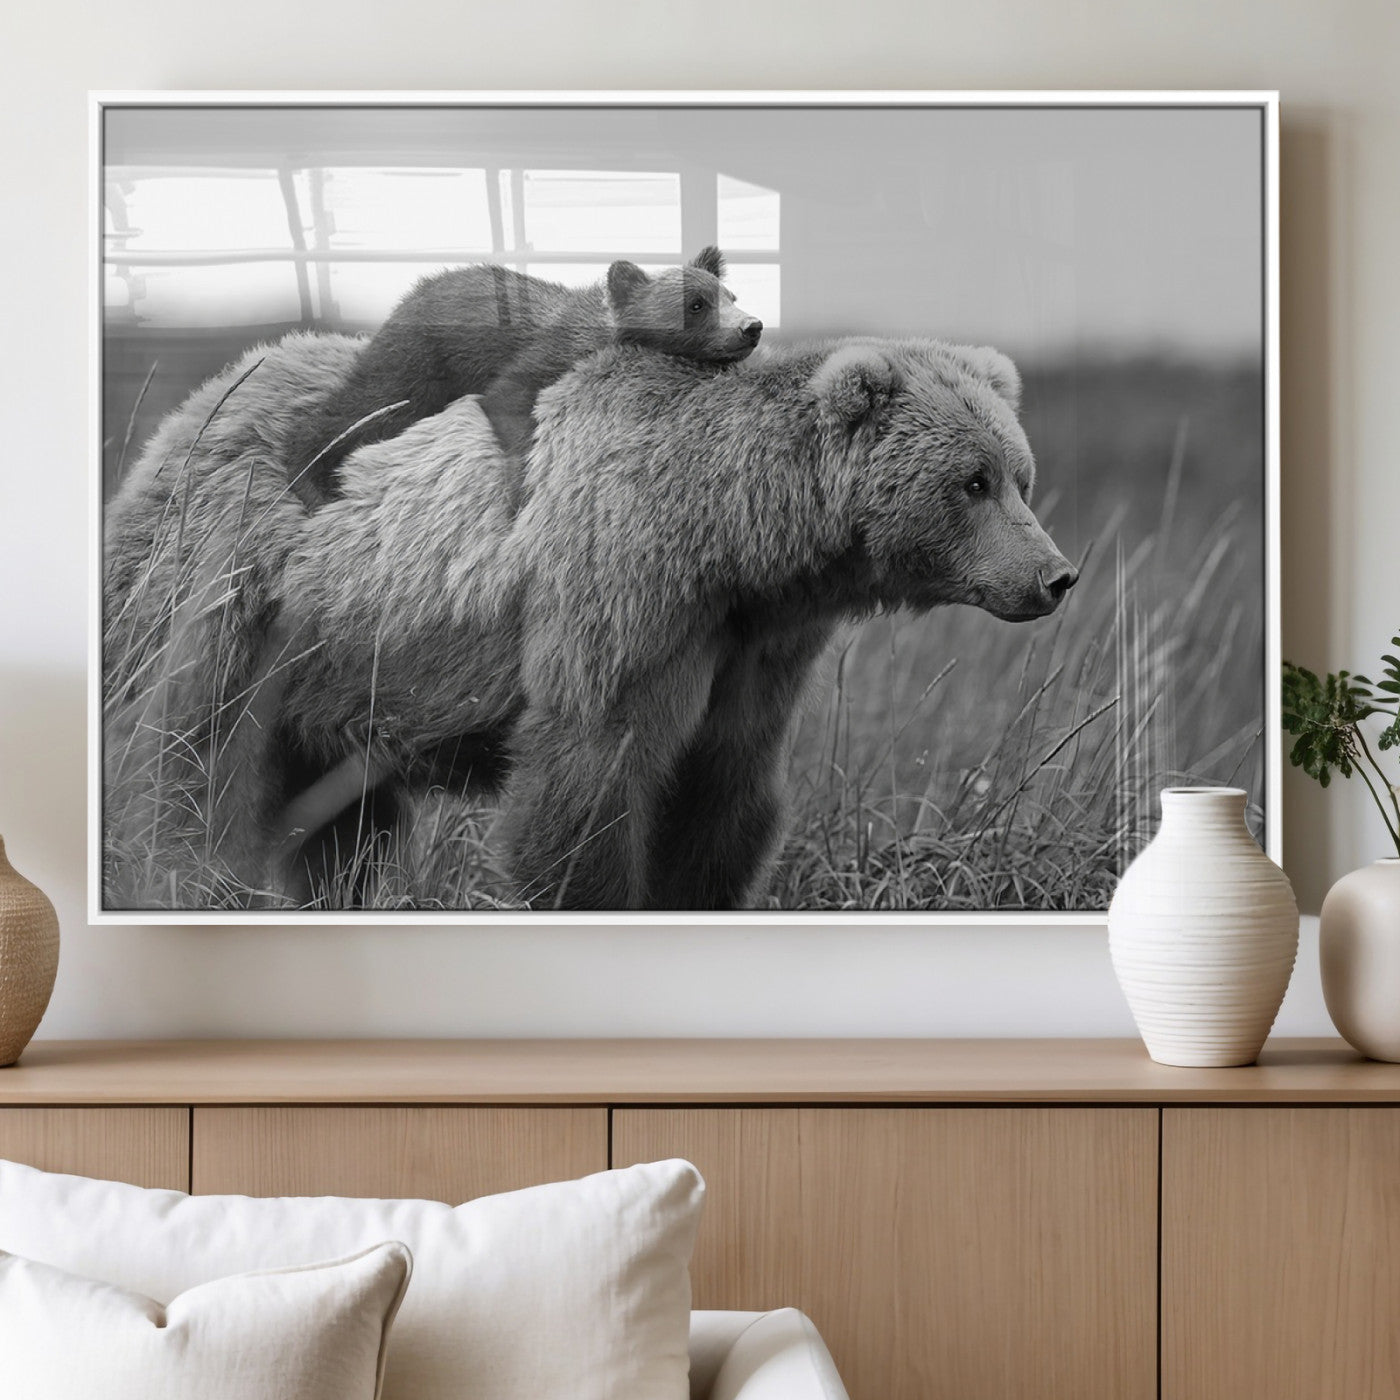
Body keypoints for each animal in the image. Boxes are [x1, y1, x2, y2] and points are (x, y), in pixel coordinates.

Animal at [101, 331, 1077, 912]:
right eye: (973, 481)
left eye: (1020, 474)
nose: (1055, 575)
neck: (735, 540)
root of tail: (197, 404)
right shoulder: (623, 596)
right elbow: (590, 782)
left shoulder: (753, 648)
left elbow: (723, 793)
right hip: (237, 594)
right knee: (193, 759)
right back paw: (182, 875)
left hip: (343, 671)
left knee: (341, 819)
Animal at [284, 247, 762, 509]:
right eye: (695, 303)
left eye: (730, 294)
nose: (751, 326)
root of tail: (408, 295)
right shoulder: (538, 358)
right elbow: (508, 400)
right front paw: (520, 490)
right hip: (416, 364)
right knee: (362, 406)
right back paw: (312, 481)